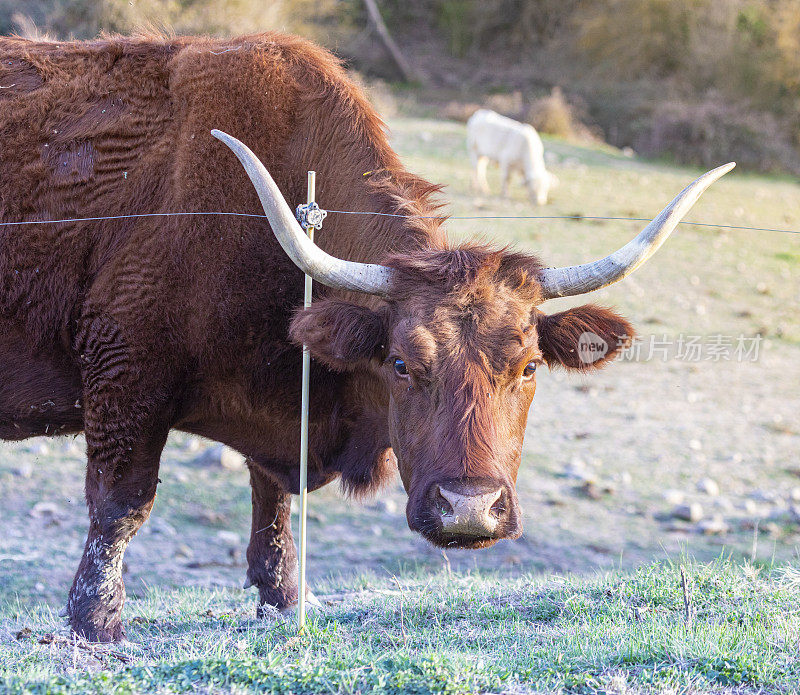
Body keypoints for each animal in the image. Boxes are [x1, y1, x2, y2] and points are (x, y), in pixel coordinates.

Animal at [0, 31, 732, 640]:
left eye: (528, 367)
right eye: (402, 363)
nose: (469, 510)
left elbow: (271, 502)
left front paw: (283, 598)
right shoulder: (125, 374)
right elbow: (120, 505)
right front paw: (95, 620)